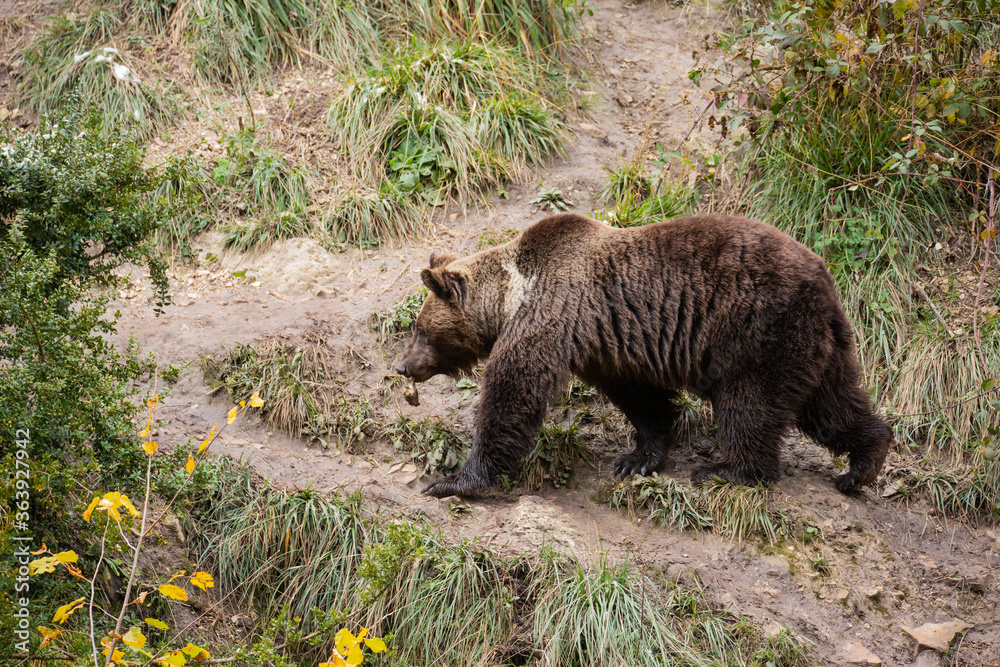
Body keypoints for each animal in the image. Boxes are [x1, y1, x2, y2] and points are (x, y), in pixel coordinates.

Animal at [395, 213, 893, 498]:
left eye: (420, 328)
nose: (402, 365)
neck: (512, 295)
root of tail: (826, 280)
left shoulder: (551, 316)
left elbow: (512, 393)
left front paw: (454, 481)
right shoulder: (610, 344)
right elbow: (642, 399)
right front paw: (638, 457)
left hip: (758, 332)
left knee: (750, 405)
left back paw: (727, 470)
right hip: (816, 343)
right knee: (831, 404)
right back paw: (863, 464)